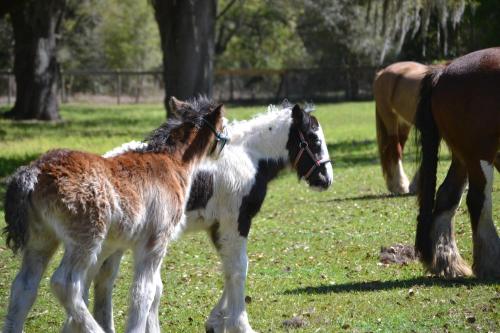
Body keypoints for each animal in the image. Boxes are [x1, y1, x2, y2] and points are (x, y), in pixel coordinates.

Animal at [1, 100, 225, 330]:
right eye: (223, 125)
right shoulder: (155, 243)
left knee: (24, 287)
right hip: (86, 239)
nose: (223, 146)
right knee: (65, 284)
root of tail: (34, 171)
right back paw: (94, 328)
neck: (172, 162)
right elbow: (145, 292)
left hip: (42, 238)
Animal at [96, 102, 332, 332]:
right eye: (314, 139)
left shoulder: (216, 227)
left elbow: (230, 267)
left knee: (105, 281)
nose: (326, 179)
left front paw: (216, 322)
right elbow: (239, 268)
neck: (248, 156)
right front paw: (239, 325)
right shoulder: (236, 222)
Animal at [374, 61, 428, 193]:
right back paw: (400, 184)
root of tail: (382, 72)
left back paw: (393, 184)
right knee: (395, 149)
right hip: (390, 119)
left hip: (404, 125)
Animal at [414, 47, 500, 278]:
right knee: (478, 200)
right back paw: (491, 263)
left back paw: (448, 262)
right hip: (479, 155)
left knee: (447, 196)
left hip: (462, 158)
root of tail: (444, 70)